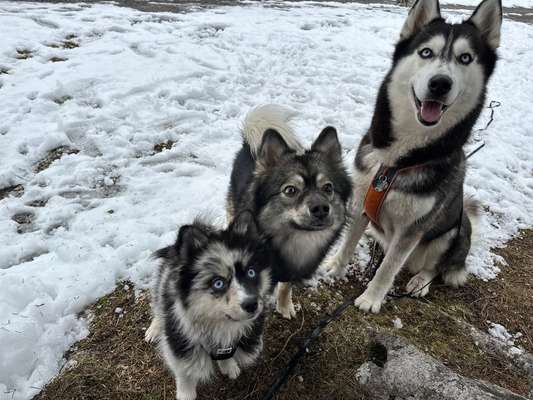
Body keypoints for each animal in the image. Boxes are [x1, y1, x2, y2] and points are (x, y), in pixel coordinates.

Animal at [144, 211, 270, 398]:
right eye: (218, 283)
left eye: (251, 272)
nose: (252, 305)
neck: (218, 323)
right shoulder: (179, 344)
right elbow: (185, 373)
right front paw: (185, 395)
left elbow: (227, 354)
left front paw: (229, 366)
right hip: (162, 285)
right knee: (158, 307)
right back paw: (154, 329)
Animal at [227, 105, 352, 318]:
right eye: (290, 190)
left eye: (328, 188)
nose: (321, 209)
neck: (295, 240)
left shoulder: (291, 272)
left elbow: (286, 286)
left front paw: (284, 306)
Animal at [326, 0, 500, 312]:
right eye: (426, 52)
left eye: (465, 58)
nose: (440, 83)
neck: (398, 161)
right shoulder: (362, 199)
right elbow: (348, 241)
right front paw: (335, 267)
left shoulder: (413, 229)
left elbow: (388, 268)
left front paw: (371, 298)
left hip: (454, 231)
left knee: (438, 267)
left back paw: (420, 281)